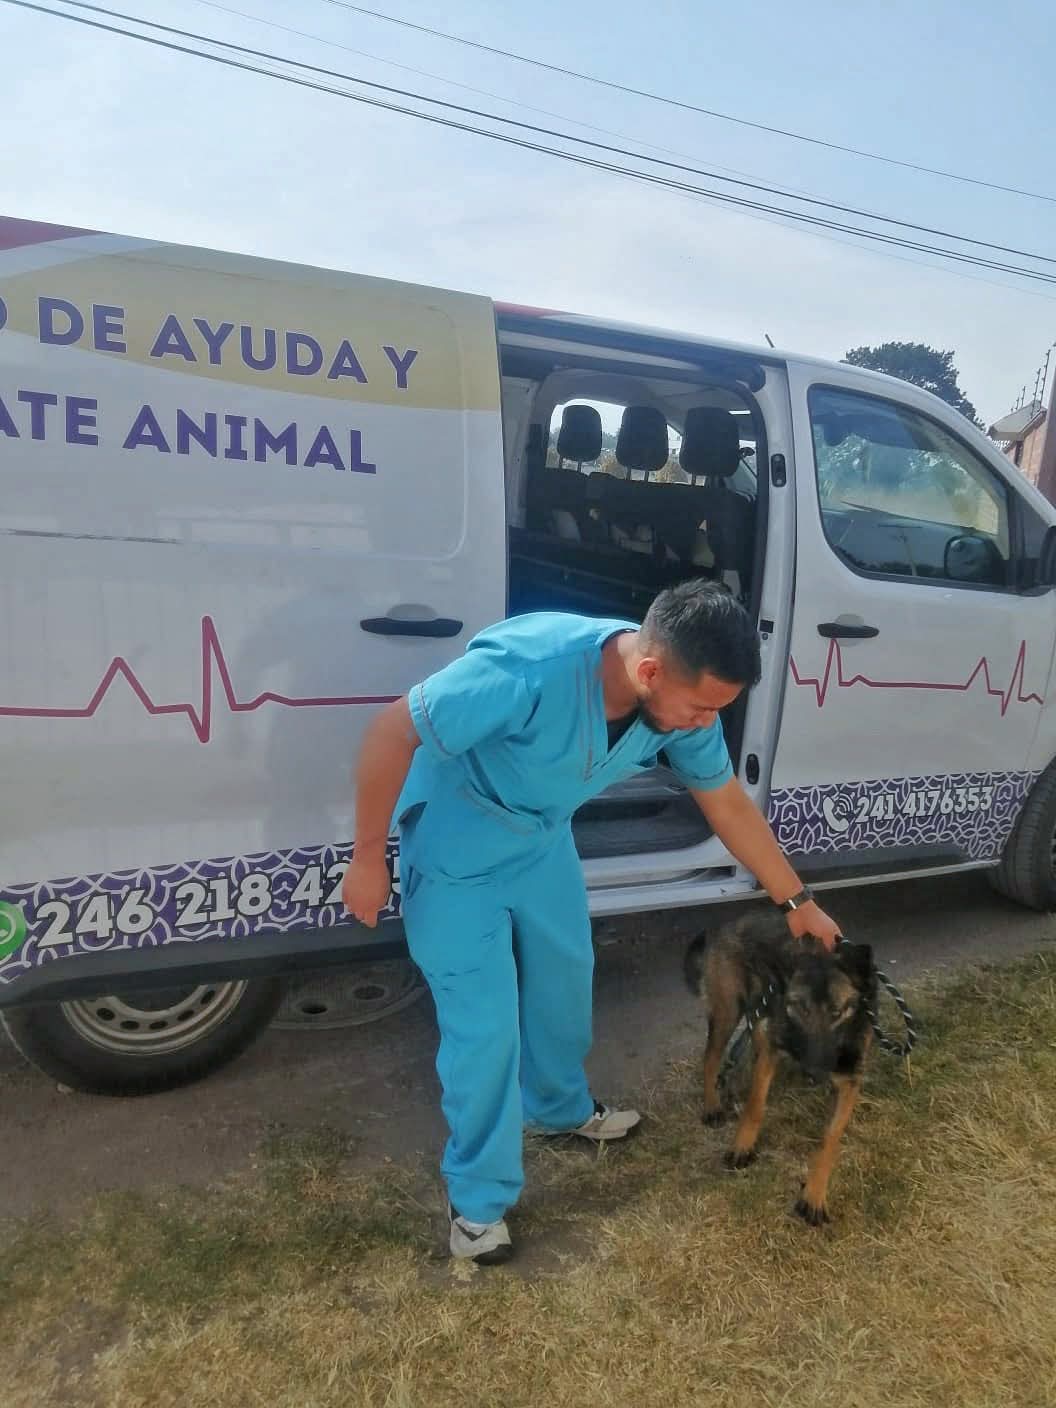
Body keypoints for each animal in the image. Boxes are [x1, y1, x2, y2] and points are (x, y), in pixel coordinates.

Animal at [684, 909, 876, 1226]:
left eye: (837, 1013)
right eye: (801, 1009)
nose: (815, 1074)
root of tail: (720, 927)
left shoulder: (850, 1079)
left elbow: (830, 1139)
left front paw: (814, 1194)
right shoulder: (773, 1050)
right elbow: (755, 1105)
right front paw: (743, 1146)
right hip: (729, 1011)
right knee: (710, 1058)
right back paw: (712, 1104)